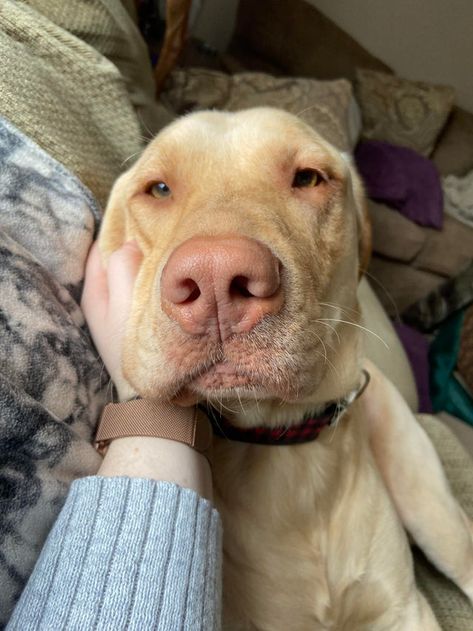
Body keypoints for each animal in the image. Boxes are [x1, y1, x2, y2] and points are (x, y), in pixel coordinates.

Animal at [99, 110, 472, 631]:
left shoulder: (405, 610)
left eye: (308, 178)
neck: (283, 450)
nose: (216, 277)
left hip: (432, 511)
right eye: (158, 189)